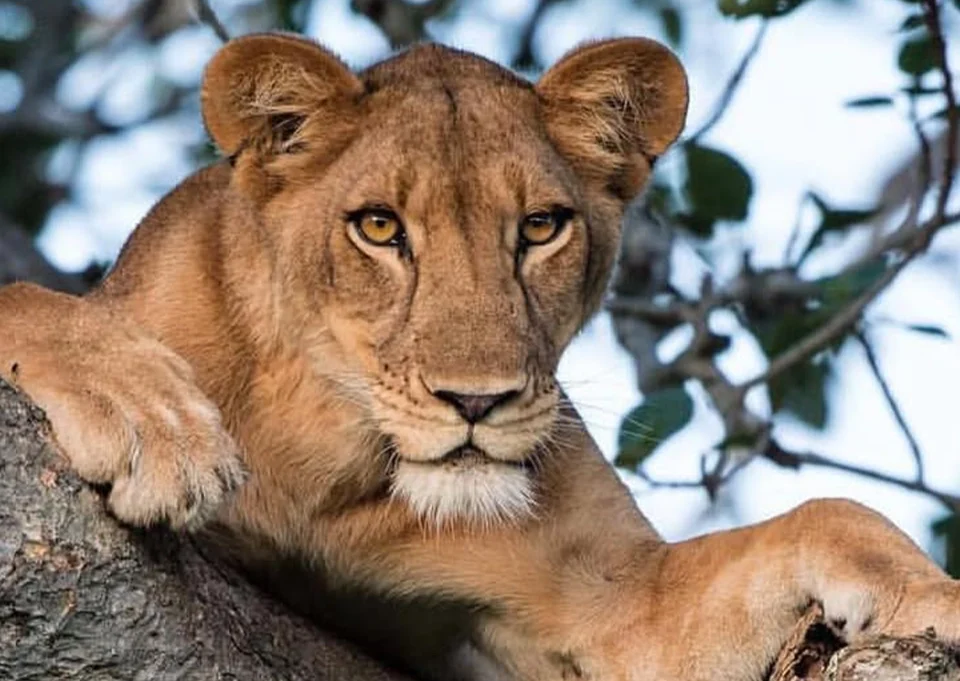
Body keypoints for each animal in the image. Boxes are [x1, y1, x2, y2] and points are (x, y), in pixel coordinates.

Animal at [1, 32, 958, 681]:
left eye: (539, 227)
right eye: (378, 226)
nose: (477, 402)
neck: (321, 449)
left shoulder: (611, 602)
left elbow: (828, 513)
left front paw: (934, 596)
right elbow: (23, 298)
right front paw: (153, 421)